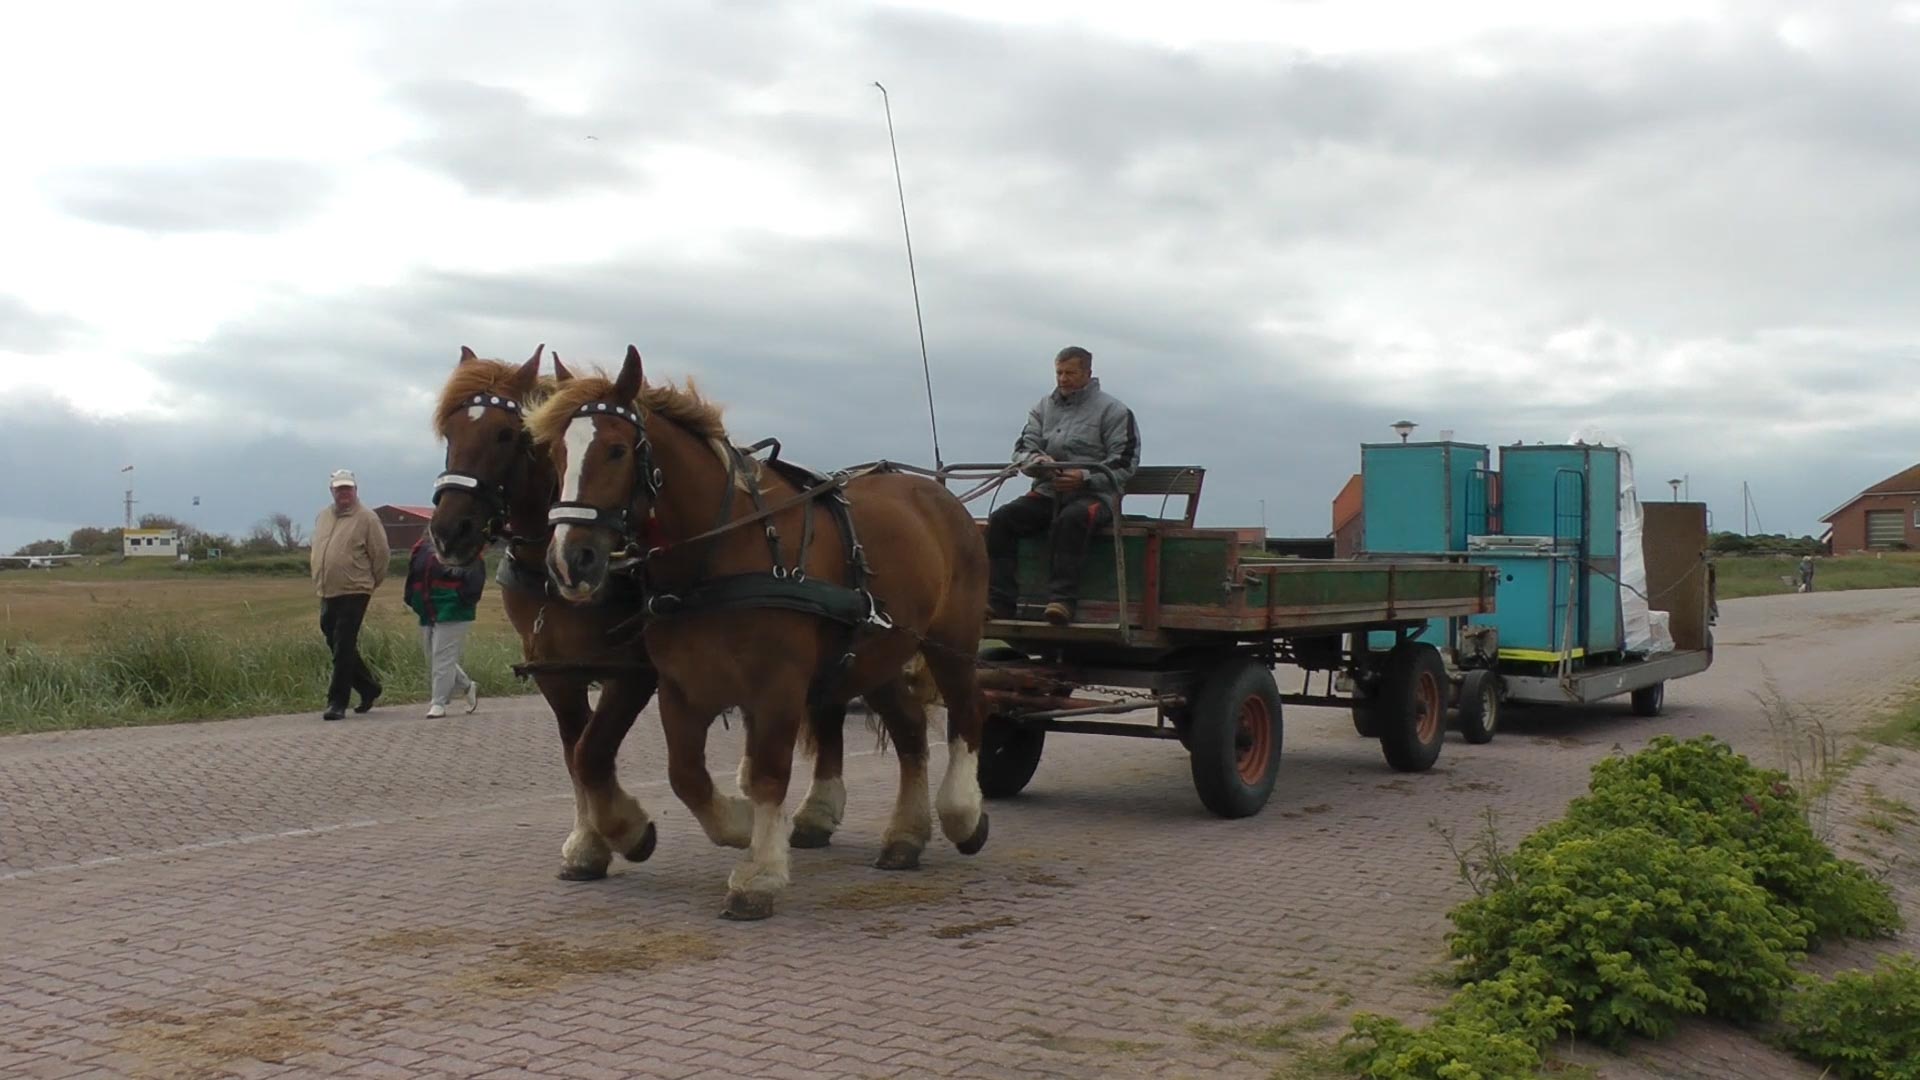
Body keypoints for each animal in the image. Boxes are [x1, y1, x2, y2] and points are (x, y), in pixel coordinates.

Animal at [533, 343, 998, 914]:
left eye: (617, 450)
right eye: (556, 454)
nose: (569, 561)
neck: (722, 555)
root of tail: (940, 495)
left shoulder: (778, 684)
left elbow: (769, 772)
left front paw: (760, 872)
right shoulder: (681, 688)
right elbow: (685, 775)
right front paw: (735, 824)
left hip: (951, 641)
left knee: (968, 713)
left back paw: (963, 815)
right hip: (879, 652)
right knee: (911, 731)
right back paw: (904, 838)